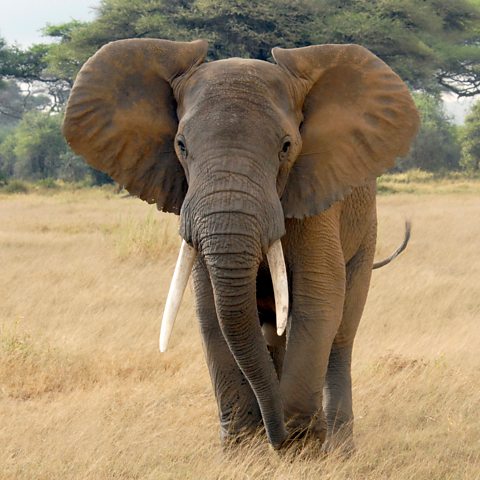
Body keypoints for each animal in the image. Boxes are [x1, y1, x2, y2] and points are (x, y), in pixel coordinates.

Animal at [64, 38, 420, 450]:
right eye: (180, 145)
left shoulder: (315, 195)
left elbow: (318, 298)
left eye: (286, 147)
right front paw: (246, 449)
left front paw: (299, 446)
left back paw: (339, 448)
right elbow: (211, 311)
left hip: (365, 235)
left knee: (341, 334)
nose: (278, 438)